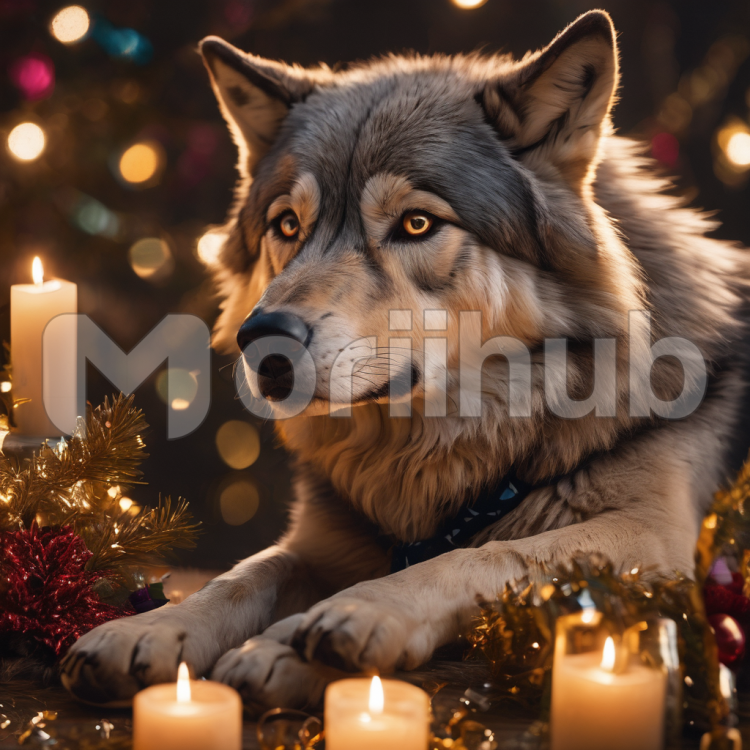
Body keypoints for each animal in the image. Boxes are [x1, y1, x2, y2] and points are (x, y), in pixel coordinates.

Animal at [62, 10, 748, 709]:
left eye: (416, 224)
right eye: (288, 226)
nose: (263, 337)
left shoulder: (654, 541)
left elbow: (483, 556)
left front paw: (328, 627)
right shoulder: (320, 543)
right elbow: (242, 575)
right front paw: (149, 629)